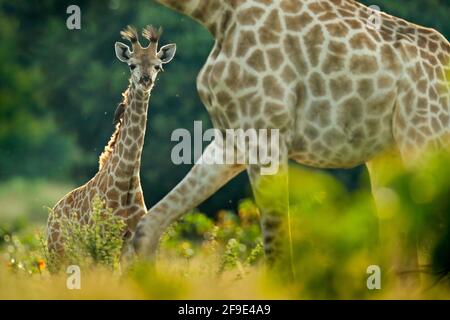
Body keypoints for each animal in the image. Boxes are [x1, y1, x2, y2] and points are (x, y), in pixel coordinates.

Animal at [47, 26, 177, 258]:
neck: (126, 181)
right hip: (59, 255)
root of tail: (50, 218)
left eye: (158, 66)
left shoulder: (130, 242)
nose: (145, 81)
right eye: (131, 64)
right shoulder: (102, 239)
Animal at [134, 0, 450, 284]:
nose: (144, 82)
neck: (217, 15)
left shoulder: (266, 133)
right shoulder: (232, 139)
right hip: (389, 156)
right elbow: (146, 227)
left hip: (425, 141)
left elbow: (277, 253)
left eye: (156, 66)